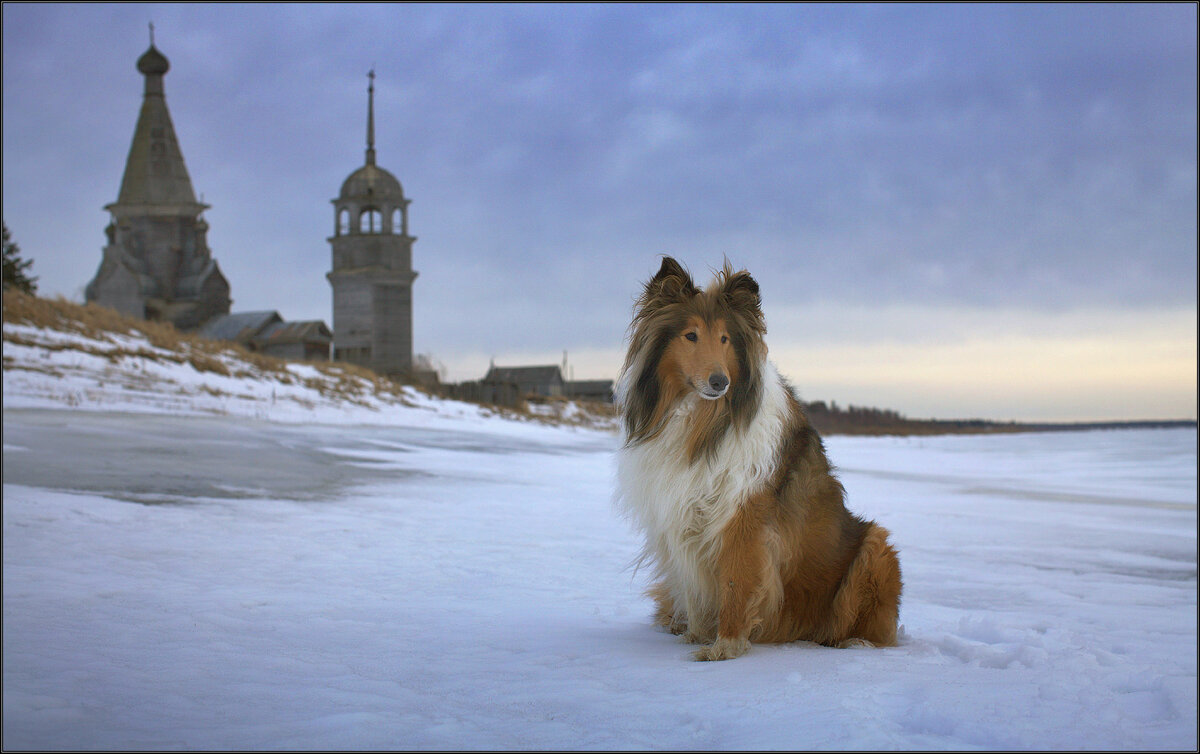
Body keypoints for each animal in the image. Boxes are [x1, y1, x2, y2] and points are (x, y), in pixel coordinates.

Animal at [619, 258, 902, 657]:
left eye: (725, 339)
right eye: (690, 335)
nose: (719, 382)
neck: (704, 422)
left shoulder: (743, 514)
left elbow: (736, 583)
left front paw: (724, 647)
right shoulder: (680, 515)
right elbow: (692, 584)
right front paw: (697, 635)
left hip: (877, 548)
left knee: (868, 628)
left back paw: (855, 642)